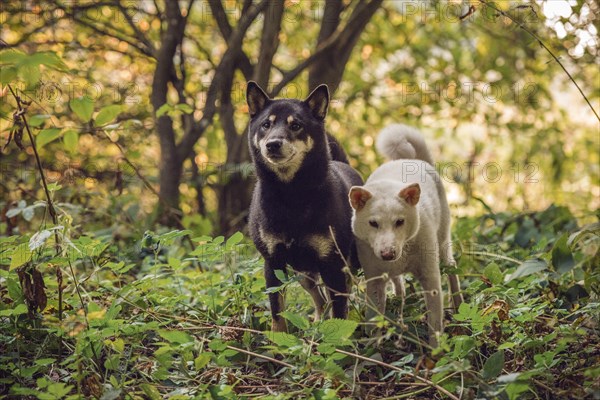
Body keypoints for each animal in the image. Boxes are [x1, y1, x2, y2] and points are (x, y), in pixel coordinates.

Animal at [246, 81, 364, 332]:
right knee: (320, 299)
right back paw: (318, 321)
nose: (273, 144)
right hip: (302, 273)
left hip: (353, 261)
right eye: (266, 124)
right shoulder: (273, 264)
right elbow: (277, 311)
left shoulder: (332, 264)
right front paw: (277, 339)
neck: (291, 196)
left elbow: (339, 311)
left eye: (296, 125)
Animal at [350, 125, 462, 346]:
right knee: (399, 286)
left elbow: (434, 321)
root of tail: (416, 159)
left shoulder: (430, 277)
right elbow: (373, 319)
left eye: (400, 222)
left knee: (452, 268)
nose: (387, 254)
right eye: (373, 223)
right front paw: (372, 348)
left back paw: (459, 305)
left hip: (443, 242)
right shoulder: (374, 281)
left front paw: (436, 350)